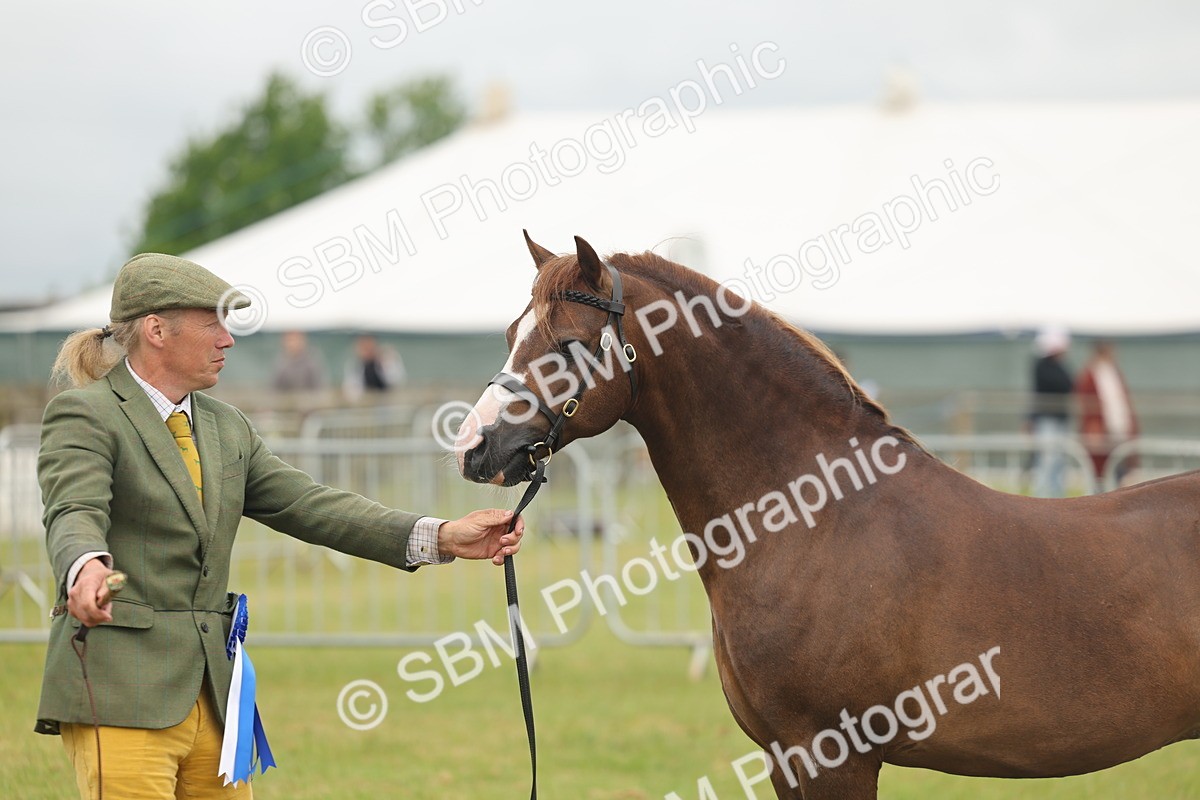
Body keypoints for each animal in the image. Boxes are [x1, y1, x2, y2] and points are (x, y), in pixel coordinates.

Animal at [454, 233, 1200, 799]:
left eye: (568, 343)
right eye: (512, 333)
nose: (472, 445)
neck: (820, 521)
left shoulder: (832, 753)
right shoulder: (784, 756)